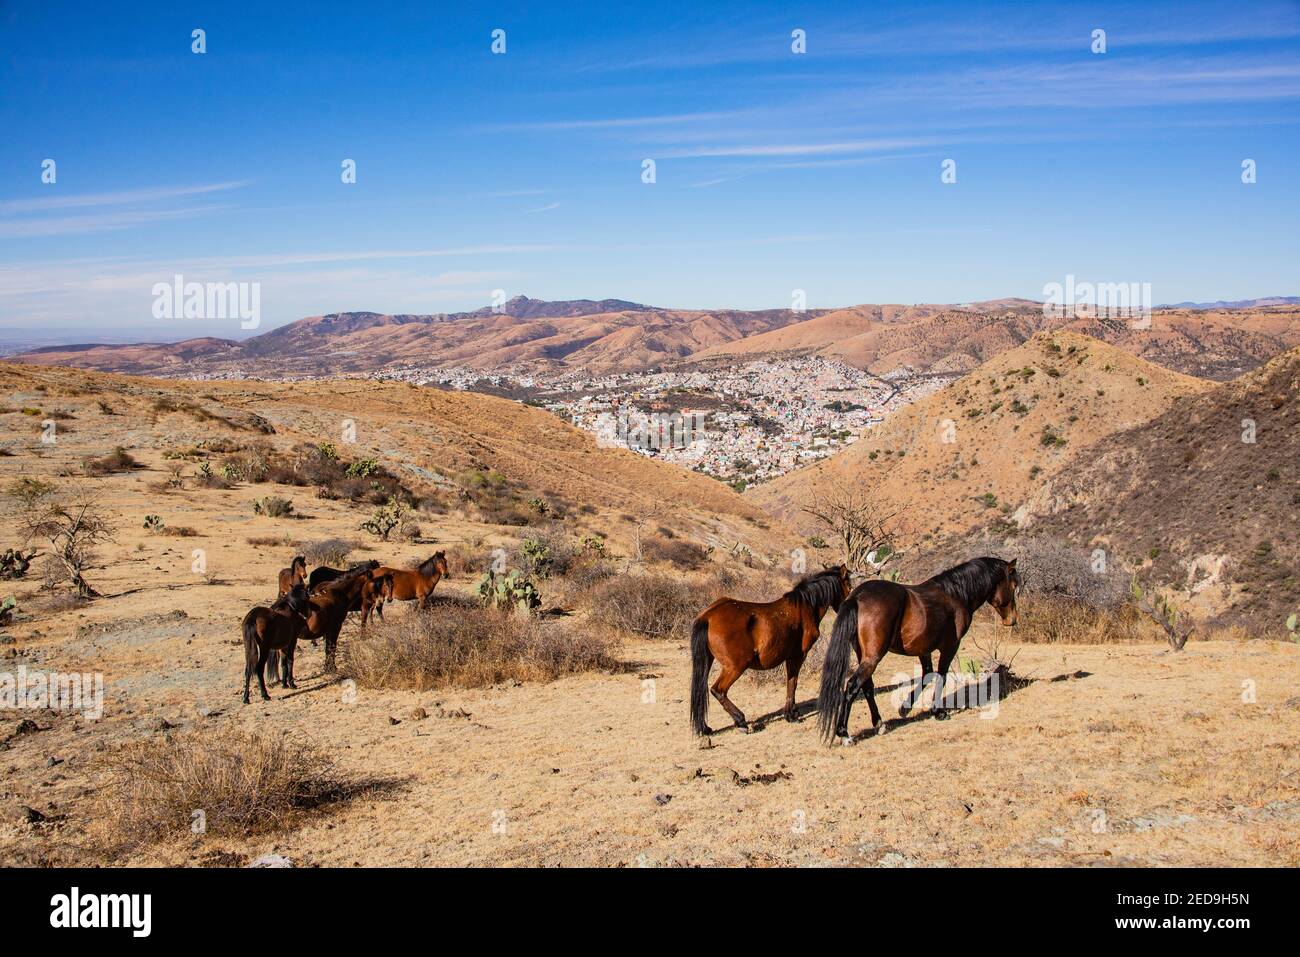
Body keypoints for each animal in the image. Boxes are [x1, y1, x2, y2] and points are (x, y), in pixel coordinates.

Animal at [690, 565, 852, 735]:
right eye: (848, 585)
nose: (845, 607)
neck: (806, 606)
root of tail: (708, 616)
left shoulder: (791, 657)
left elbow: (791, 682)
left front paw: (791, 713)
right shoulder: (798, 656)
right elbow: (792, 683)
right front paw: (791, 715)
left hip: (708, 662)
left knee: (701, 691)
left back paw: (704, 727)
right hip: (735, 667)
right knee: (718, 690)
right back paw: (741, 721)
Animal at [816, 556, 1020, 743]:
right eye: (1014, 585)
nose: (1012, 620)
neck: (955, 594)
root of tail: (857, 597)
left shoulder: (924, 650)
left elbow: (927, 675)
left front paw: (905, 708)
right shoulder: (950, 647)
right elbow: (941, 676)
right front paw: (939, 712)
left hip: (863, 656)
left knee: (866, 686)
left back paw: (879, 724)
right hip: (873, 657)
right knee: (852, 685)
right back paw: (844, 734)